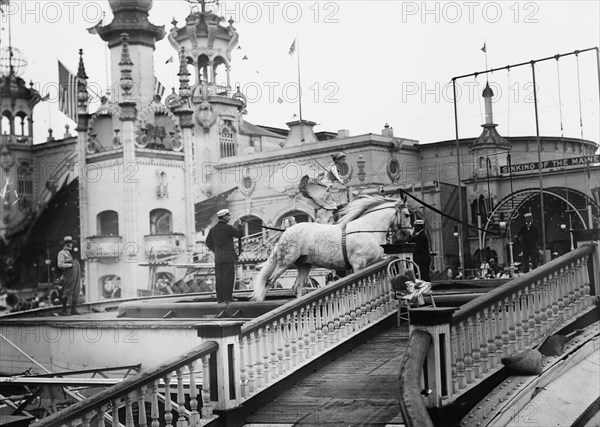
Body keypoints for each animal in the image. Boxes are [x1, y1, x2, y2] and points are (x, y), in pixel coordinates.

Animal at [250, 196, 412, 302]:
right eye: (407, 214)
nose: (409, 234)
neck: (367, 229)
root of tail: (286, 231)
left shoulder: (374, 263)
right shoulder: (358, 265)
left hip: (304, 265)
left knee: (297, 287)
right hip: (285, 262)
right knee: (269, 281)